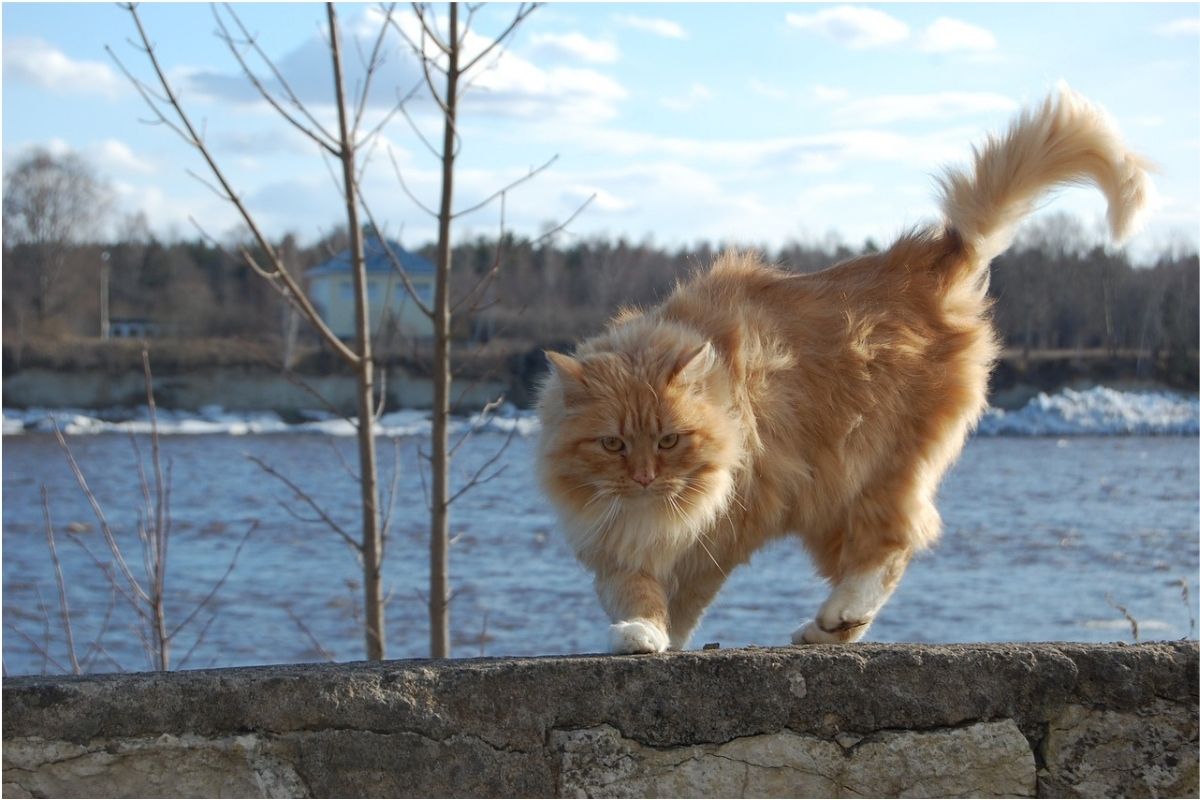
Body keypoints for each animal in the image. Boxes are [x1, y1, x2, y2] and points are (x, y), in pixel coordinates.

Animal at [537, 86, 1152, 652]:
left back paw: (838, 614)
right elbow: (634, 590)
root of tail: (931, 260)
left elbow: (685, 595)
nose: (644, 477)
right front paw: (641, 631)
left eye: (669, 441)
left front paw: (666, 636)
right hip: (833, 499)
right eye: (613, 445)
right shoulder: (613, 541)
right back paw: (826, 629)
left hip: (865, 474)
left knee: (895, 545)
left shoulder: (726, 527)